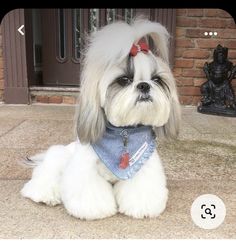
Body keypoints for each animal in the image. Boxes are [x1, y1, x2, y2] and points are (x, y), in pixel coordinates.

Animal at [21, 18, 181, 220]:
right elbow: (90, 192)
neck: (124, 133)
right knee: (42, 180)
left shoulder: (143, 166)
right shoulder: (86, 169)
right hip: (57, 162)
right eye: (124, 80)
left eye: (157, 80)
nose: (144, 85)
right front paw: (93, 210)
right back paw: (45, 195)